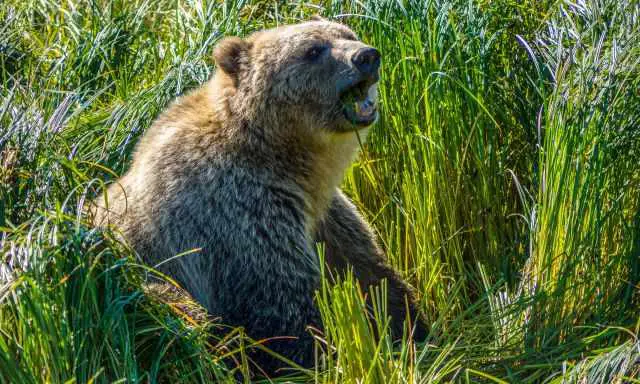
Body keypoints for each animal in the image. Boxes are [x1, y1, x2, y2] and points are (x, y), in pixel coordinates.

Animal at [94, 18, 424, 376]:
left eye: (347, 33)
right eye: (313, 50)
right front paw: (322, 359)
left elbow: (366, 268)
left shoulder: (323, 215)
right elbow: (281, 303)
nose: (366, 56)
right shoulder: (240, 213)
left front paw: (411, 325)